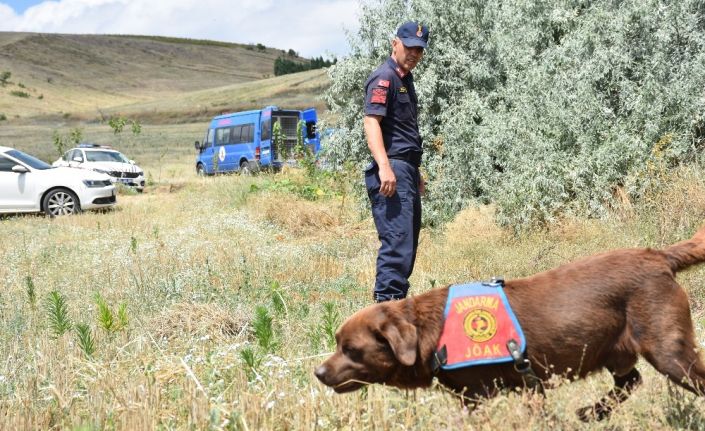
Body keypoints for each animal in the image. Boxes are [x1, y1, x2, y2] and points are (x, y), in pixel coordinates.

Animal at [316, 224, 704, 420]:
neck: (432, 329)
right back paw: (590, 413)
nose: (318, 372)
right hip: (615, 350)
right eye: (337, 343)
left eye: (351, 349)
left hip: (669, 351)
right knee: (630, 381)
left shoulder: (517, 387)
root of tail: (659, 256)